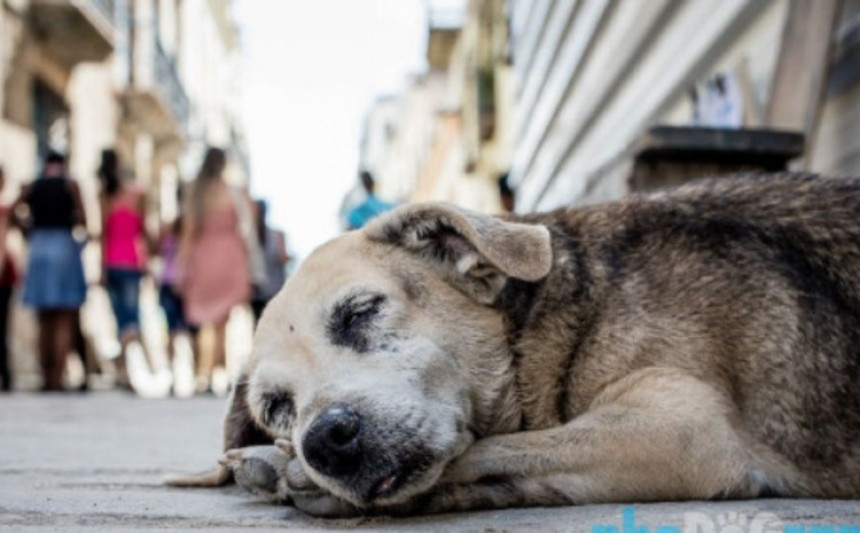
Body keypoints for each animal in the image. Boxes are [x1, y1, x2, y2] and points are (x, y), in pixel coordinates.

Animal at [168, 175, 860, 516]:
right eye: (276, 407)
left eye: (361, 312)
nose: (324, 441)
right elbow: (508, 458)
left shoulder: (682, 430)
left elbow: (500, 450)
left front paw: (286, 471)